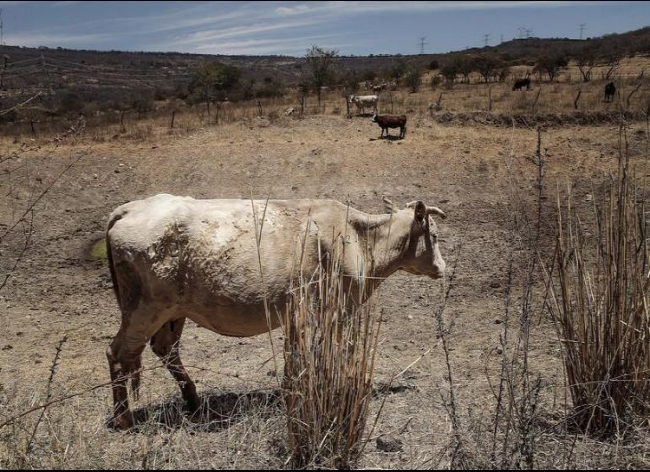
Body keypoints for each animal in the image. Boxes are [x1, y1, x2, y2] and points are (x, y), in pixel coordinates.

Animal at [105, 194, 446, 430]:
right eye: (435, 235)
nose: (444, 268)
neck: (359, 237)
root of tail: (130, 208)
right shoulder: (333, 310)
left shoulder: (298, 314)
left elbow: (296, 356)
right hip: (145, 308)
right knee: (119, 353)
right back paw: (124, 419)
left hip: (173, 312)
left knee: (165, 349)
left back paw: (194, 401)